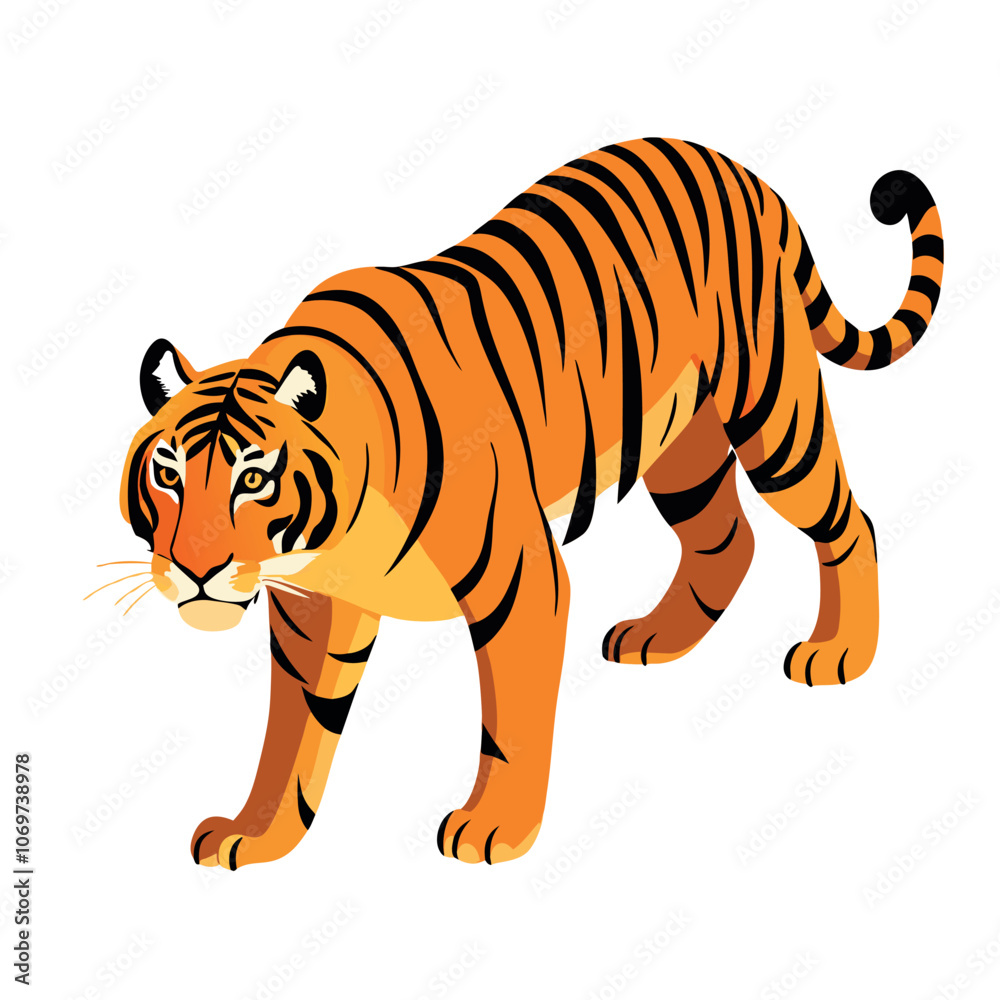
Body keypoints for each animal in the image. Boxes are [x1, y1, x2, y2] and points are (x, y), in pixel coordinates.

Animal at [115, 137, 943, 869]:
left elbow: (508, 723)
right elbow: (291, 736)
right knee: (726, 537)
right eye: (168, 472)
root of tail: (734, 165)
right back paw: (659, 637)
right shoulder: (311, 615)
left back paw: (841, 652)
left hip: (773, 410)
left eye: (253, 478)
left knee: (848, 520)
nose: (195, 570)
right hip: (681, 444)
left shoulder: (519, 583)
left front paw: (494, 832)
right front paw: (257, 836)